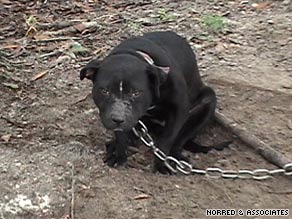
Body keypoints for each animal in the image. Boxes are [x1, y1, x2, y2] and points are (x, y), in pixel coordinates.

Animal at [80, 31, 221, 173]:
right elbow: (121, 136)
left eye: (136, 92)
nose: (118, 118)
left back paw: (176, 157)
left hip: (208, 100)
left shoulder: (179, 109)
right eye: (105, 91)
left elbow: (166, 140)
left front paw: (162, 165)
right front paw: (119, 156)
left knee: (181, 138)